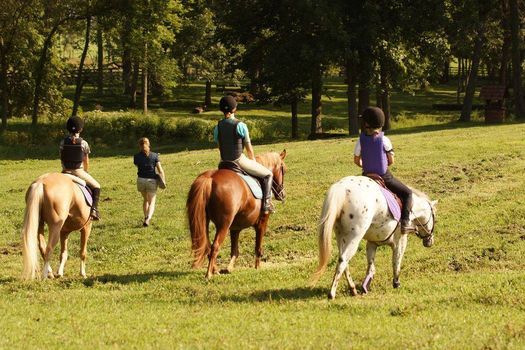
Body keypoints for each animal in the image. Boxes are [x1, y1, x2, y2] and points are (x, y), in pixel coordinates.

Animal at [187, 149, 286, 278]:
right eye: (284, 170)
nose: (282, 194)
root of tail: (210, 178)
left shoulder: (235, 228)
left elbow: (234, 250)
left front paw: (229, 268)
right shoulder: (262, 223)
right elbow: (258, 248)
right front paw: (257, 267)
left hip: (204, 222)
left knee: (207, 247)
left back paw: (215, 270)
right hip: (224, 225)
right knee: (215, 246)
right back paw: (208, 274)